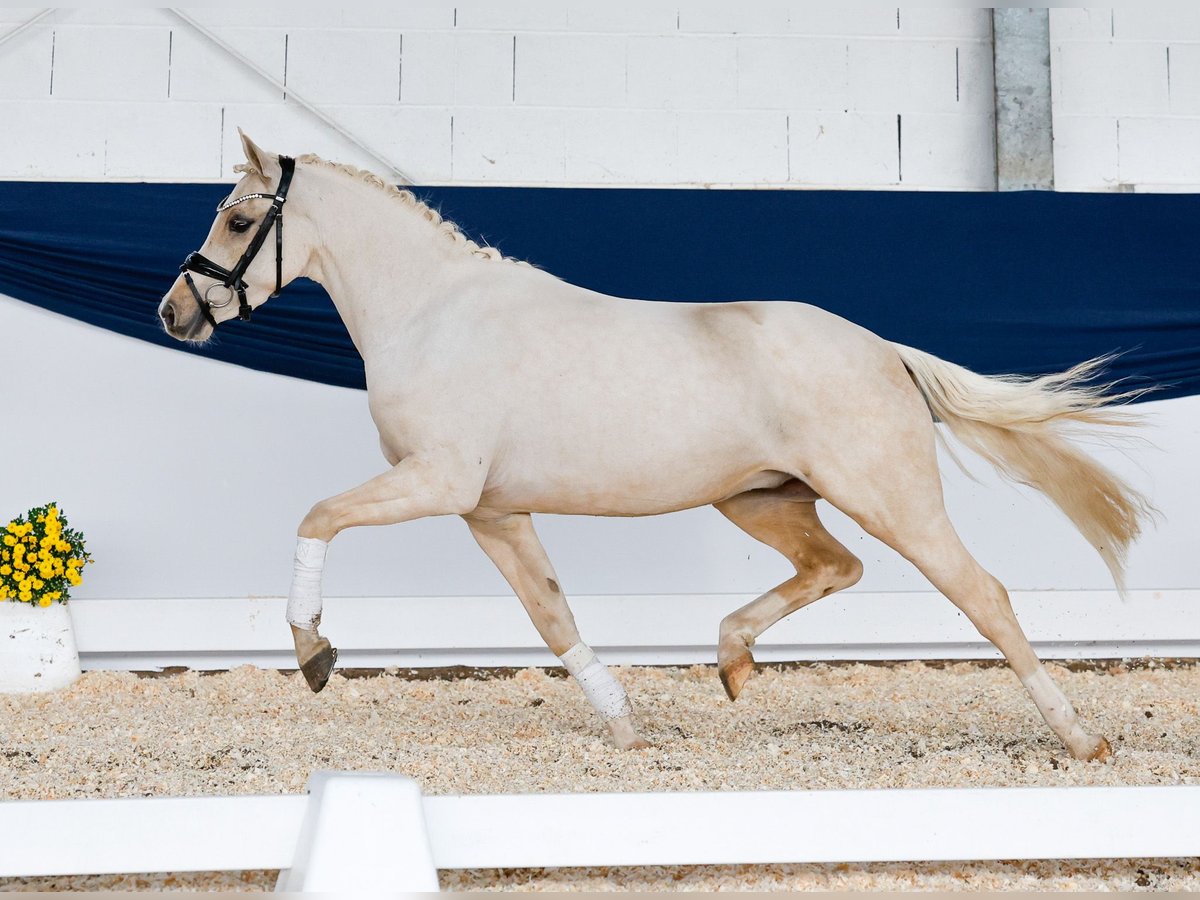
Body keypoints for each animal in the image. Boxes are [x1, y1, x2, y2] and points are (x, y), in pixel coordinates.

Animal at [154, 135, 1147, 763]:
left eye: (237, 220)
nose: (175, 313)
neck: (434, 315)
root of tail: (884, 349)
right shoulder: (492, 511)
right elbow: (552, 616)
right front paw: (628, 731)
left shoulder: (437, 482)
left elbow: (317, 515)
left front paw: (314, 654)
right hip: (762, 498)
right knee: (836, 567)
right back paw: (733, 663)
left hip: (892, 500)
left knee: (984, 596)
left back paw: (1083, 741)